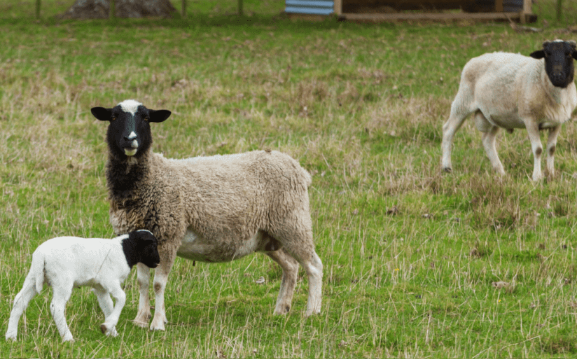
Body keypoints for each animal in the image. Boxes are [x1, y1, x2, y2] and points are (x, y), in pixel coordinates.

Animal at [5, 231, 161, 344]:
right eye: (152, 245)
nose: (158, 262)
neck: (125, 251)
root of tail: (41, 254)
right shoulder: (110, 280)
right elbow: (122, 298)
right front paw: (108, 326)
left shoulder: (100, 288)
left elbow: (108, 306)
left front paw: (111, 331)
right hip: (62, 280)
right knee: (56, 307)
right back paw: (68, 338)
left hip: (33, 277)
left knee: (19, 301)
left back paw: (11, 336)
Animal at [90, 100, 324, 330]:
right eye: (114, 117)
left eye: (146, 118)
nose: (130, 140)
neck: (151, 178)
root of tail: (299, 168)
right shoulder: (141, 240)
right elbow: (143, 282)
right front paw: (141, 319)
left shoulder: (168, 236)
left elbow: (158, 284)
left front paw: (157, 323)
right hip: (268, 236)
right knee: (291, 266)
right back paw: (281, 309)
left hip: (293, 223)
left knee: (314, 266)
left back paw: (312, 312)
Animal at [440, 39, 576, 181]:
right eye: (547, 54)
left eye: (569, 54)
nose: (557, 76)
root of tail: (475, 59)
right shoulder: (530, 119)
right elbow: (538, 149)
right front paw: (537, 177)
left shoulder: (557, 122)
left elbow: (552, 148)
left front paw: (550, 174)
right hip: (463, 102)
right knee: (448, 130)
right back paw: (446, 167)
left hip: (494, 116)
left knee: (487, 141)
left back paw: (500, 171)